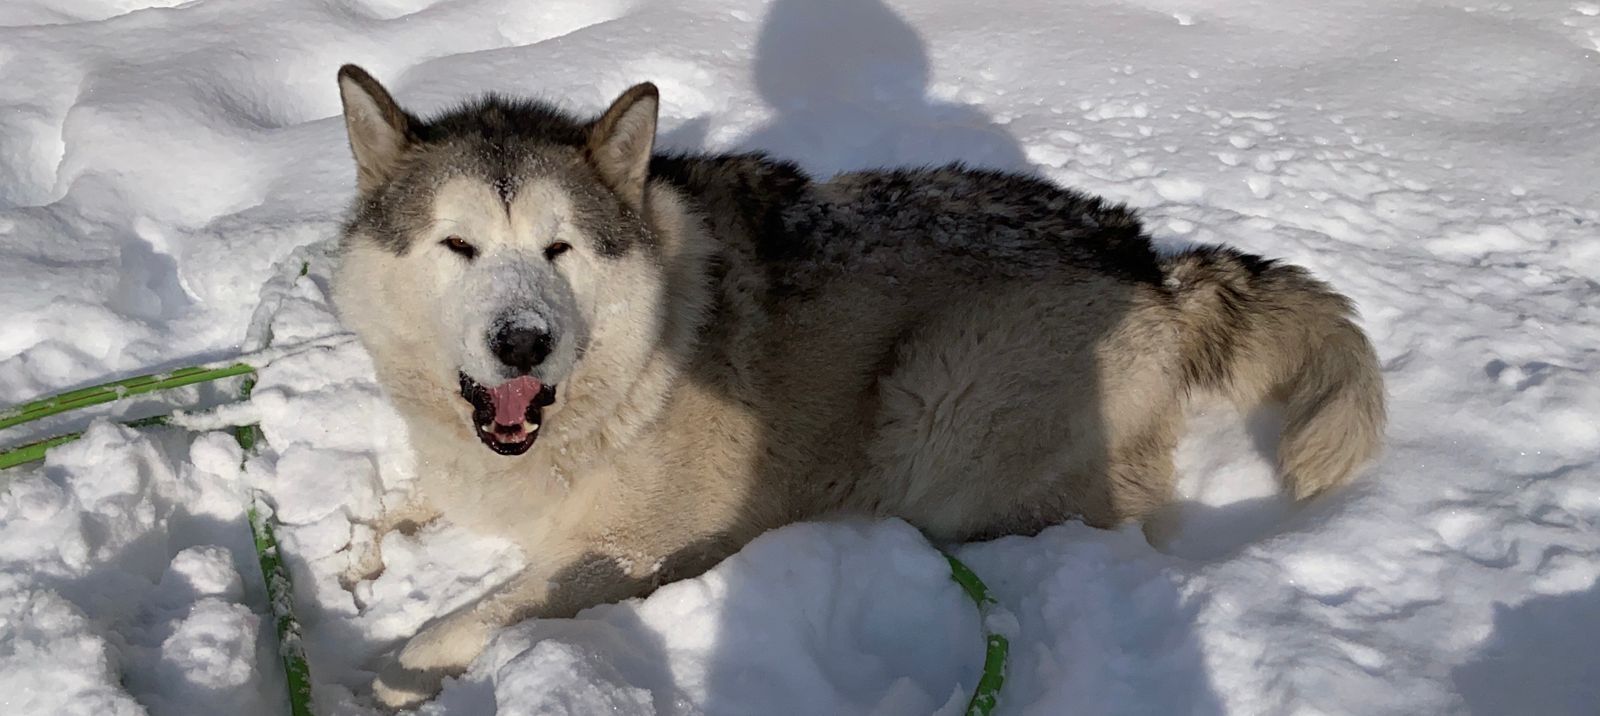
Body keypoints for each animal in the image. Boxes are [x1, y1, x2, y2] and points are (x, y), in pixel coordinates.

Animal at [331, 63, 1382, 703]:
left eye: (560, 249)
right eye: (459, 246)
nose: (523, 343)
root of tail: (1151, 262)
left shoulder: (632, 551)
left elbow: (475, 615)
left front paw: (393, 671)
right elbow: (387, 512)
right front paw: (355, 568)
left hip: (940, 410)